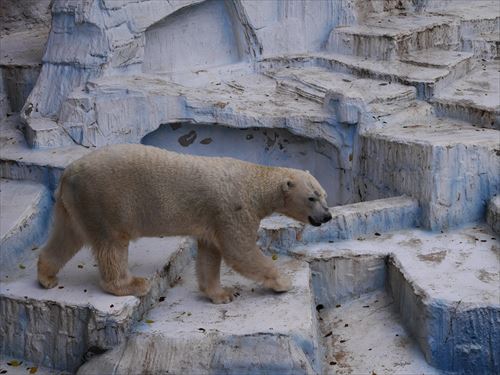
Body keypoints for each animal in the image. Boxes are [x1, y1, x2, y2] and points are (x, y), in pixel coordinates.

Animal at [38, 144, 332, 302]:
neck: (254, 184)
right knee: (112, 245)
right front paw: (282, 282)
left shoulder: (214, 218)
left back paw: (46, 276)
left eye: (324, 195)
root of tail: (68, 171)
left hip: (75, 202)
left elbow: (210, 253)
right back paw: (133, 284)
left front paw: (221, 293)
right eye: (312, 197)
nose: (327, 216)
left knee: (67, 236)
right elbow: (240, 251)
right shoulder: (233, 209)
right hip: (104, 199)